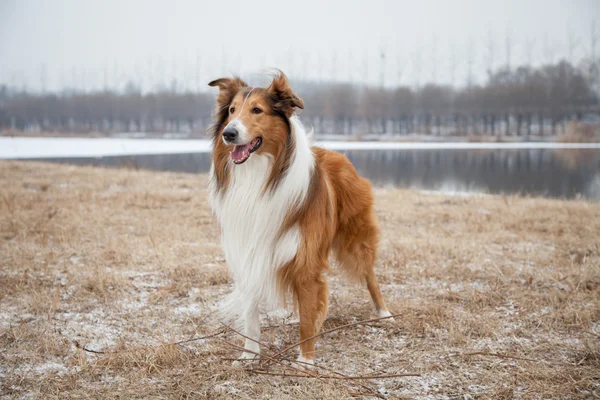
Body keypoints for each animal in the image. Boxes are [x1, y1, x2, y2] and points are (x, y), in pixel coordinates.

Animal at [209, 72, 392, 366]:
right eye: (232, 111)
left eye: (257, 110)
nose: (229, 134)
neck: (261, 176)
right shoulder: (249, 251)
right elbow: (251, 314)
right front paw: (250, 355)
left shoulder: (306, 258)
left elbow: (308, 316)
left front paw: (305, 360)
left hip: (355, 239)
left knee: (369, 275)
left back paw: (384, 313)